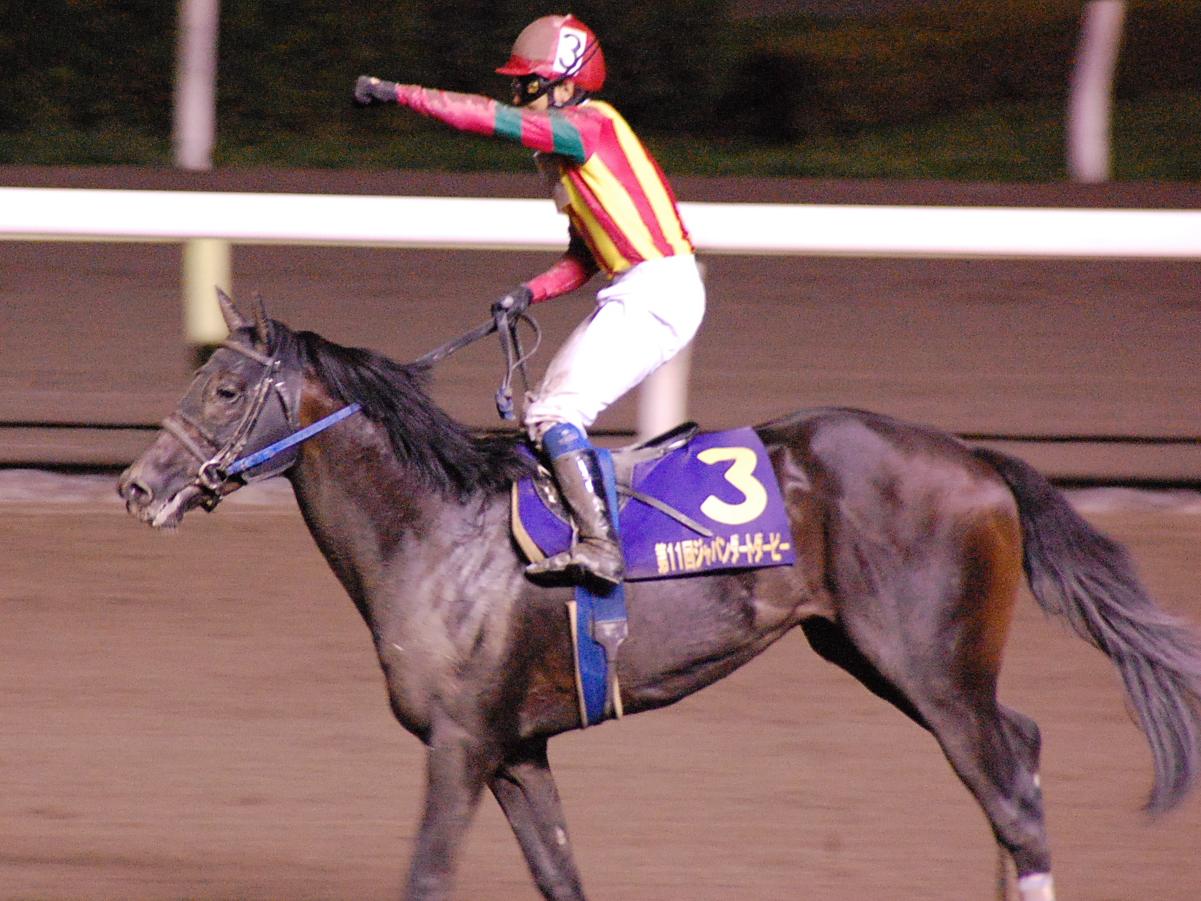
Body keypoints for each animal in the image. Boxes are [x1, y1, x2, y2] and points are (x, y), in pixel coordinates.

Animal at [117, 293, 1201, 901]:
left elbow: (426, 875)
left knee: (1010, 792)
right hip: (878, 656)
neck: (438, 526)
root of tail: (976, 458)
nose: (135, 484)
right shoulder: (516, 747)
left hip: (930, 665)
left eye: (223, 389)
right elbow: (559, 874)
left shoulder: (462, 741)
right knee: (1017, 755)